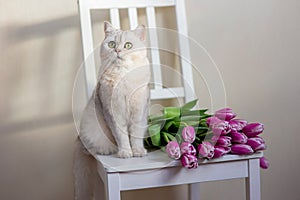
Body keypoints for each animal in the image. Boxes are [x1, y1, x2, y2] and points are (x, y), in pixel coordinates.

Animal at [73, 22, 150, 200]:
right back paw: (109, 150)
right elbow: (122, 137)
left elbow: (135, 136)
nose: (118, 51)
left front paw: (137, 151)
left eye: (128, 45)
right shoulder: (113, 114)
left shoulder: (139, 114)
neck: (123, 76)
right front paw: (125, 152)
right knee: (93, 148)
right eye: (112, 44)